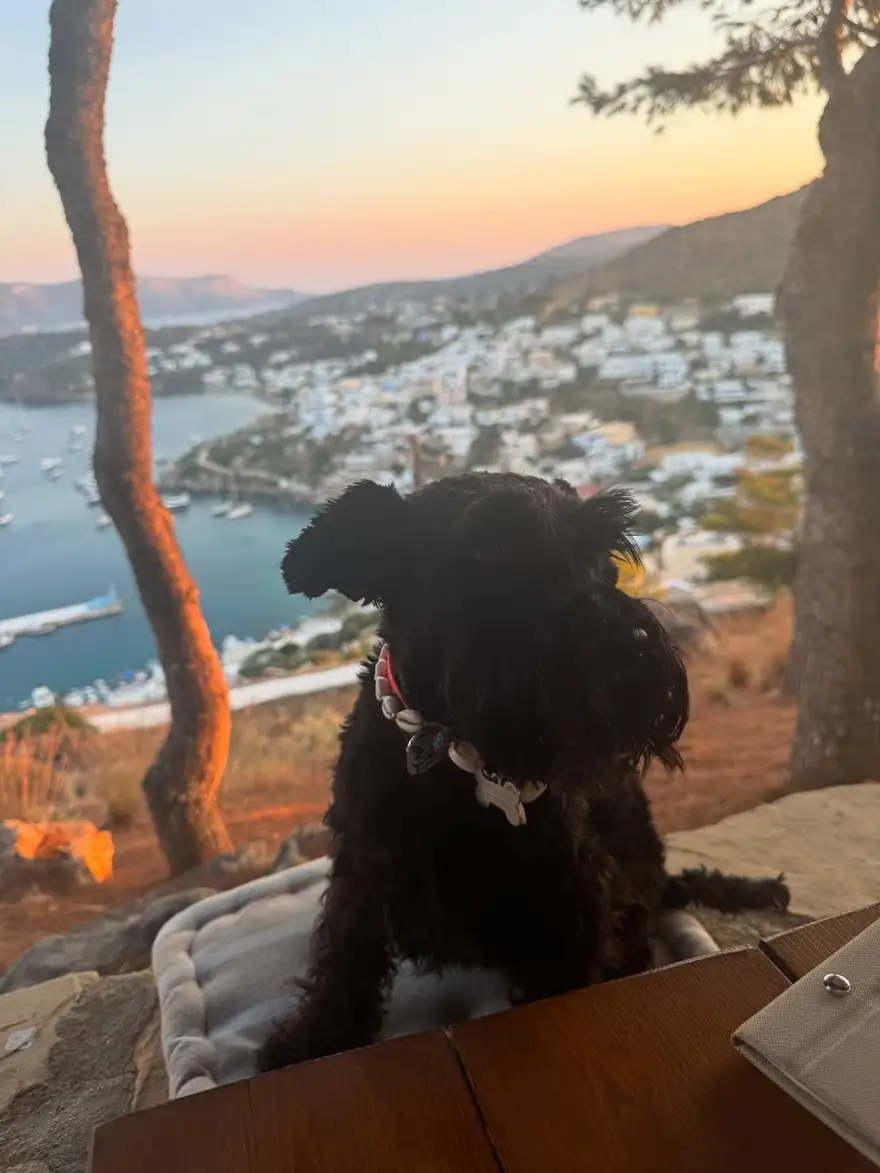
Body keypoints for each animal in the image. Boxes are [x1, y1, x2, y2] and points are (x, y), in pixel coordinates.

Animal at [257, 472, 788, 1072]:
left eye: (603, 560)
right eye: (495, 555)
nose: (634, 649)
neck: (444, 752)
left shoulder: (567, 907)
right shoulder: (364, 867)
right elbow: (346, 950)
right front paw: (315, 1038)